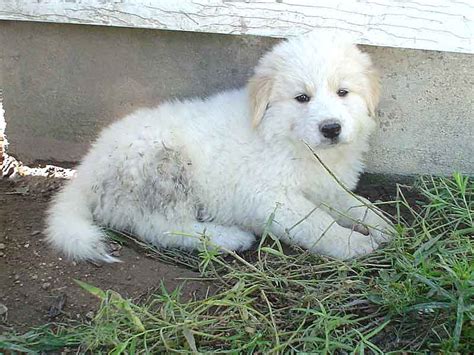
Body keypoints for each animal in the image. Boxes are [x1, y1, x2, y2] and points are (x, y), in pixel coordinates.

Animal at [45, 32, 392, 262]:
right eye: (301, 98)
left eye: (343, 92)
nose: (331, 128)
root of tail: (86, 170)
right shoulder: (272, 198)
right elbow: (317, 223)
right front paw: (351, 242)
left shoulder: (328, 187)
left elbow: (355, 204)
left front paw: (383, 225)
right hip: (163, 167)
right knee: (161, 228)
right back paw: (229, 237)